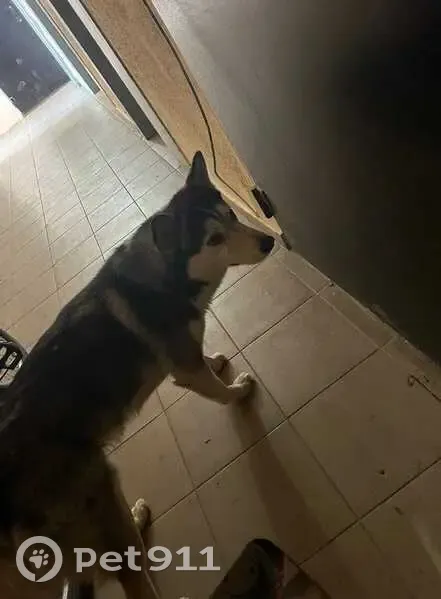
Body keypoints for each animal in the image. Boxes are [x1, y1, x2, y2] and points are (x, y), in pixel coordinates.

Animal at [0, 151, 274, 599]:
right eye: (213, 240)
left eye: (232, 216)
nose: (269, 241)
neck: (164, 274)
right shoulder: (185, 368)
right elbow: (217, 391)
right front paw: (237, 390)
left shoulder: (186, 354)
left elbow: (205, 361)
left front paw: (218, 363)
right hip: (101, 498)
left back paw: (138, 517)